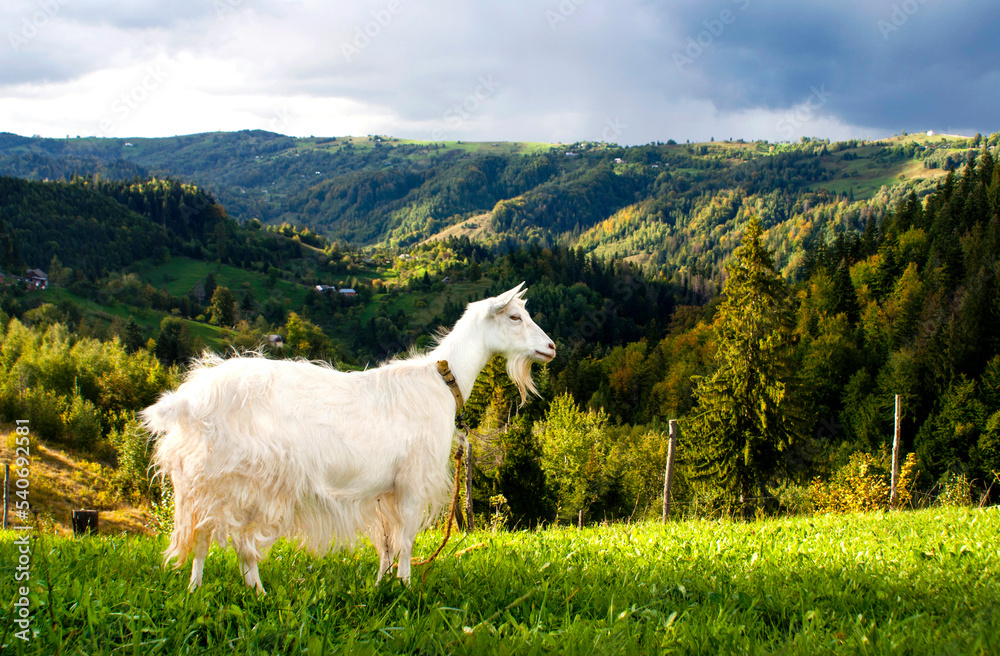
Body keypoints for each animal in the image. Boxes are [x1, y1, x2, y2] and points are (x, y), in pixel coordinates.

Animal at [141, 283, 555, 593]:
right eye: (515, 317)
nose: (551, 347)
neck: (439, 382)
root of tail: (189, 398)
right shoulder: (411, 481)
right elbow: (406, 540)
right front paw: (406, 589)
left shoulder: (384, 491)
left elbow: (387, 544)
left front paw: (381, 585)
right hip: (241, 477)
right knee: (227, 537)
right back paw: (237, 591)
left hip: (215, 481)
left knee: (207, 534)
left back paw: (214, 590)